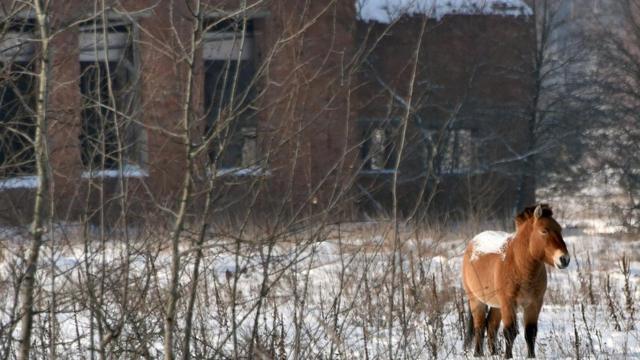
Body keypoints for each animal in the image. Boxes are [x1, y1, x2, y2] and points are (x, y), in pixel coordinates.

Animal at [460, 204, 568, 358]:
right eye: (544, 230)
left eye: (559, 229)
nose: (564, 259)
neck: (519, 266)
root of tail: (472, 243)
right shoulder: (508, 303)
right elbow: (509, 332)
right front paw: (508, 356)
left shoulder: (534, 304)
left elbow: (530, 333)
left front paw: (531, 357)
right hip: (476, 300)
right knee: (479, 327)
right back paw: (478, 354)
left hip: (497, 306)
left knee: (491, 326)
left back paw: (494, 353)